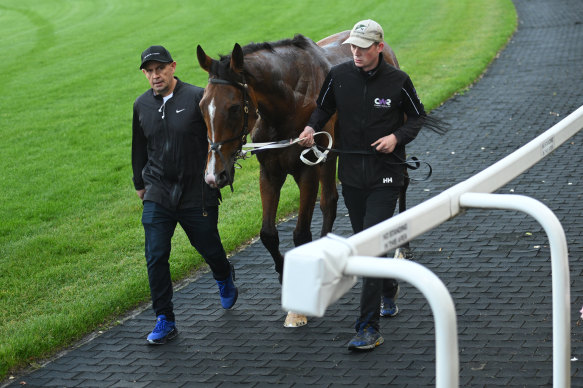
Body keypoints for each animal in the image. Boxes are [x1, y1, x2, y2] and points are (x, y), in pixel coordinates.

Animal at [198, 31, 404, 326]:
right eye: (202, 106)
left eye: (235, 107)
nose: (215, 174)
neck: (288, 99)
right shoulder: (270, 171)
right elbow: (268, 233)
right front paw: (285, 277)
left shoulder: (308, 168)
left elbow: (300, 233)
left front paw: (297, 309)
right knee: (330, 200)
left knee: (401, 184)